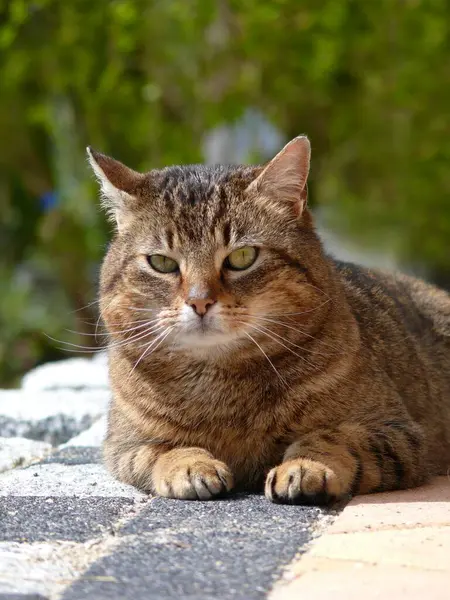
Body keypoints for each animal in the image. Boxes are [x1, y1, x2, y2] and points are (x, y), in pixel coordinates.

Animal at [88, 137, 450, 506]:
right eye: (161, 263)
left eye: (242, 257)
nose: (199, 301)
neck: (220, 387)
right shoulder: (122, 444)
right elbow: (159, 451)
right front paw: (189, 465)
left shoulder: (395, 430)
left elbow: (332, 437)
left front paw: (305, 466)